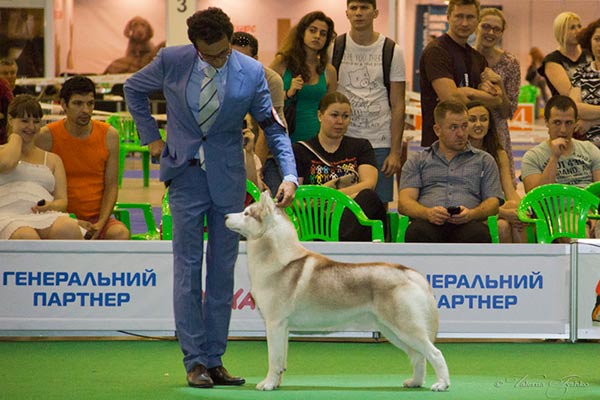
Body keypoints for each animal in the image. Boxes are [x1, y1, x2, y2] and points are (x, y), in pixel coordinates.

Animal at [225, 192, 450, 391]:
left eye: (246, 213)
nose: (226, 216)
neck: (279, 259)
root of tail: (409, 272)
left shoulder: (274, 323)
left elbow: (274, 359)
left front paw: (269, 384)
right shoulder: (283, 327)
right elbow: (281, 361)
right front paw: (277, 383)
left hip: (406, 328)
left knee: (435, 354)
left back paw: (441, 384)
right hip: (393, 331)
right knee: (418, 357)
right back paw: (415, 382)